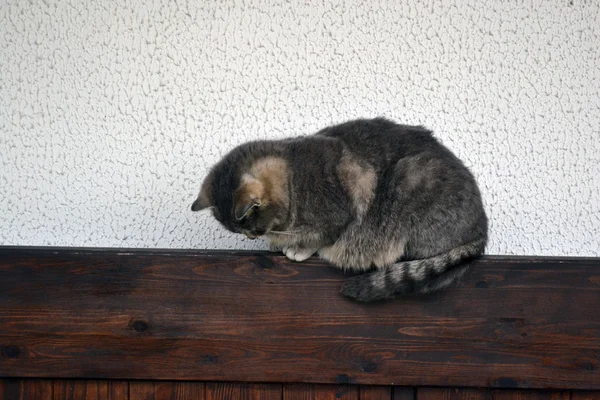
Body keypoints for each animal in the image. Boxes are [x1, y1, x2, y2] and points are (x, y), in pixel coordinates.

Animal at [192, 117, 488, 302]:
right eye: (241, 231)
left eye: (249, 225)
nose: (252, 236)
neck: (294, 177)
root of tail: (482, 230)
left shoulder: (353, 192)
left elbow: (322, 235)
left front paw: (299, 248)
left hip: (413, 177)